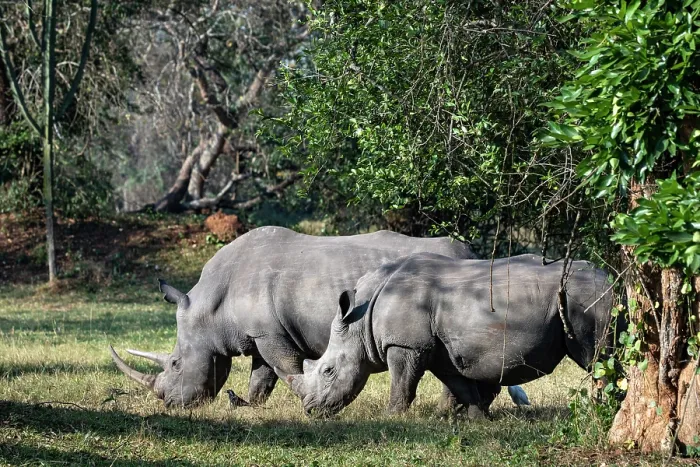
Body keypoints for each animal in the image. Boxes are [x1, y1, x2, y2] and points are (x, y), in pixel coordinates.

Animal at [109, 226, 483, 408]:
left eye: (175, 364)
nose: (171, 404)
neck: (211, 309)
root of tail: (469, 251)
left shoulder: (270, 334)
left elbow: (285, 367)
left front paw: (304, 401)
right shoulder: (260, 333)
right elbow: (261, 376)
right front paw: (248, 405)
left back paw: (449, 413)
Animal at [276, 253, 615, 417]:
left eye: (328, 371)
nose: (310, 411)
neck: (360, 321)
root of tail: (608, 276)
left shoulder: (405, 345)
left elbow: (402, 383)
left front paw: (391, 416)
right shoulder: (438, 348)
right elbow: (458, 384)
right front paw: (478, 420)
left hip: (588, 298)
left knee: (595, 357)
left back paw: (606, 409)